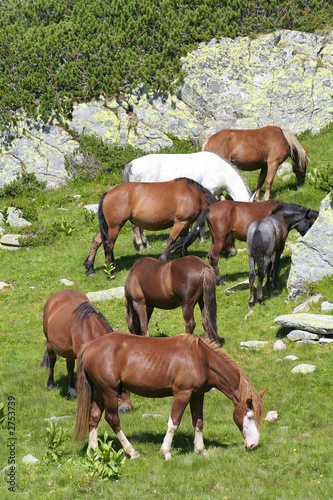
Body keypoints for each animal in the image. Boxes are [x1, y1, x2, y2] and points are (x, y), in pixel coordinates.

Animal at [73, 334, 264, 458]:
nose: (253, 445)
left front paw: (201, 450)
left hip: (101, 392)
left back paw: (94, 453)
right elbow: (174, 423)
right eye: (249, 416)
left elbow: (199, 422)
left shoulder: (197, 395)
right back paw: (132, 452)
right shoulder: (182, 393)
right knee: (112, 419)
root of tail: (89, 346)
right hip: (110, 392)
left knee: (94, 416)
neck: (201, 359)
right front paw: (166, 452)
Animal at [83, 177, 215, 278]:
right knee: (108, 245)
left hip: (109, 227)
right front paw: (162, 259)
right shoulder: (180, 222)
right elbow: (171, 241)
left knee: (97, 240)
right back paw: (111, 271)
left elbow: (183, 243)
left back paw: (90, 268)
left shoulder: (186, 223)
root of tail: (108, 194)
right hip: (115, 226)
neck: (195, 195)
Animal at [122, 149, 254, 249]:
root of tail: (131, 165)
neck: (220, 170)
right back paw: (142, 246)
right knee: (135, 225)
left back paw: (147, 244)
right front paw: (202, 239)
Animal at [170, 199, 318, 286]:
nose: (309, 236)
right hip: (220, 238)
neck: (280, 215)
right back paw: (220, 281)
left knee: (210, 256)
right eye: (310, 223)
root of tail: (209, 209)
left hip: (215, 239)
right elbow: (273, 262)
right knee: (214, 257)